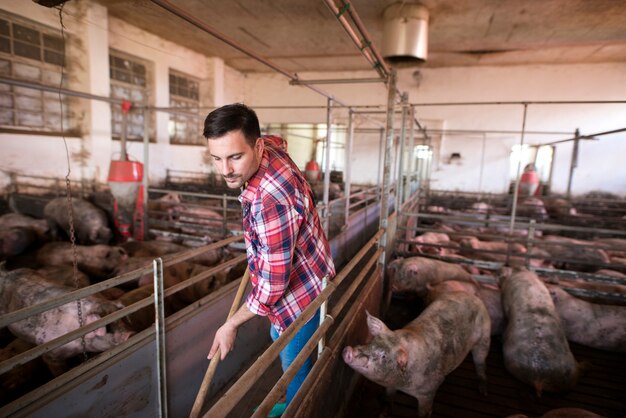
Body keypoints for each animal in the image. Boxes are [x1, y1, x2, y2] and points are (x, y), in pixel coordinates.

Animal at [0, 268, 133, 376]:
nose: (130, 334)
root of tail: (5, 272)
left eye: (121, 320)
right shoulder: (49, 353)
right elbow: (58, 371)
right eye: (108, 328)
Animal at [342, 290, 488, 418]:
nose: (348, 350)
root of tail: (474, 297)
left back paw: (482, 391)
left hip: (483, 339)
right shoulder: (390, 385)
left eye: (383, 356)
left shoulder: (430, 389)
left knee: (480, 362)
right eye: (371, 341)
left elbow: (424, 411)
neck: (401, 383)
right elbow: (389, 397)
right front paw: (382, 414)